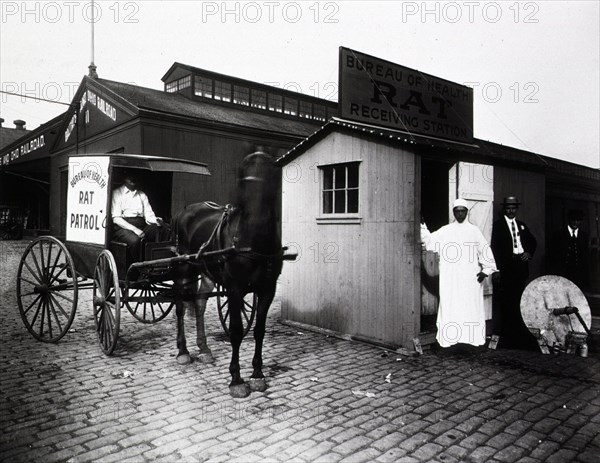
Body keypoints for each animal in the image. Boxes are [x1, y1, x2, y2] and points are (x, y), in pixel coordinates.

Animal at [171, 152, 284, 398]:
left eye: (271, 176)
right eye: (243, 179)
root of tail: (185, 210)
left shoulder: (268, 289)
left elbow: (259, 330)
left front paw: (257, 374)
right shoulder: (234, 289)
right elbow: (236, 331)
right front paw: (236, 380)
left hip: (207, 272)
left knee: (200, 302)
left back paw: (204, 348)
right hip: (184, 268)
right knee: (180, 306)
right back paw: (183, 351)